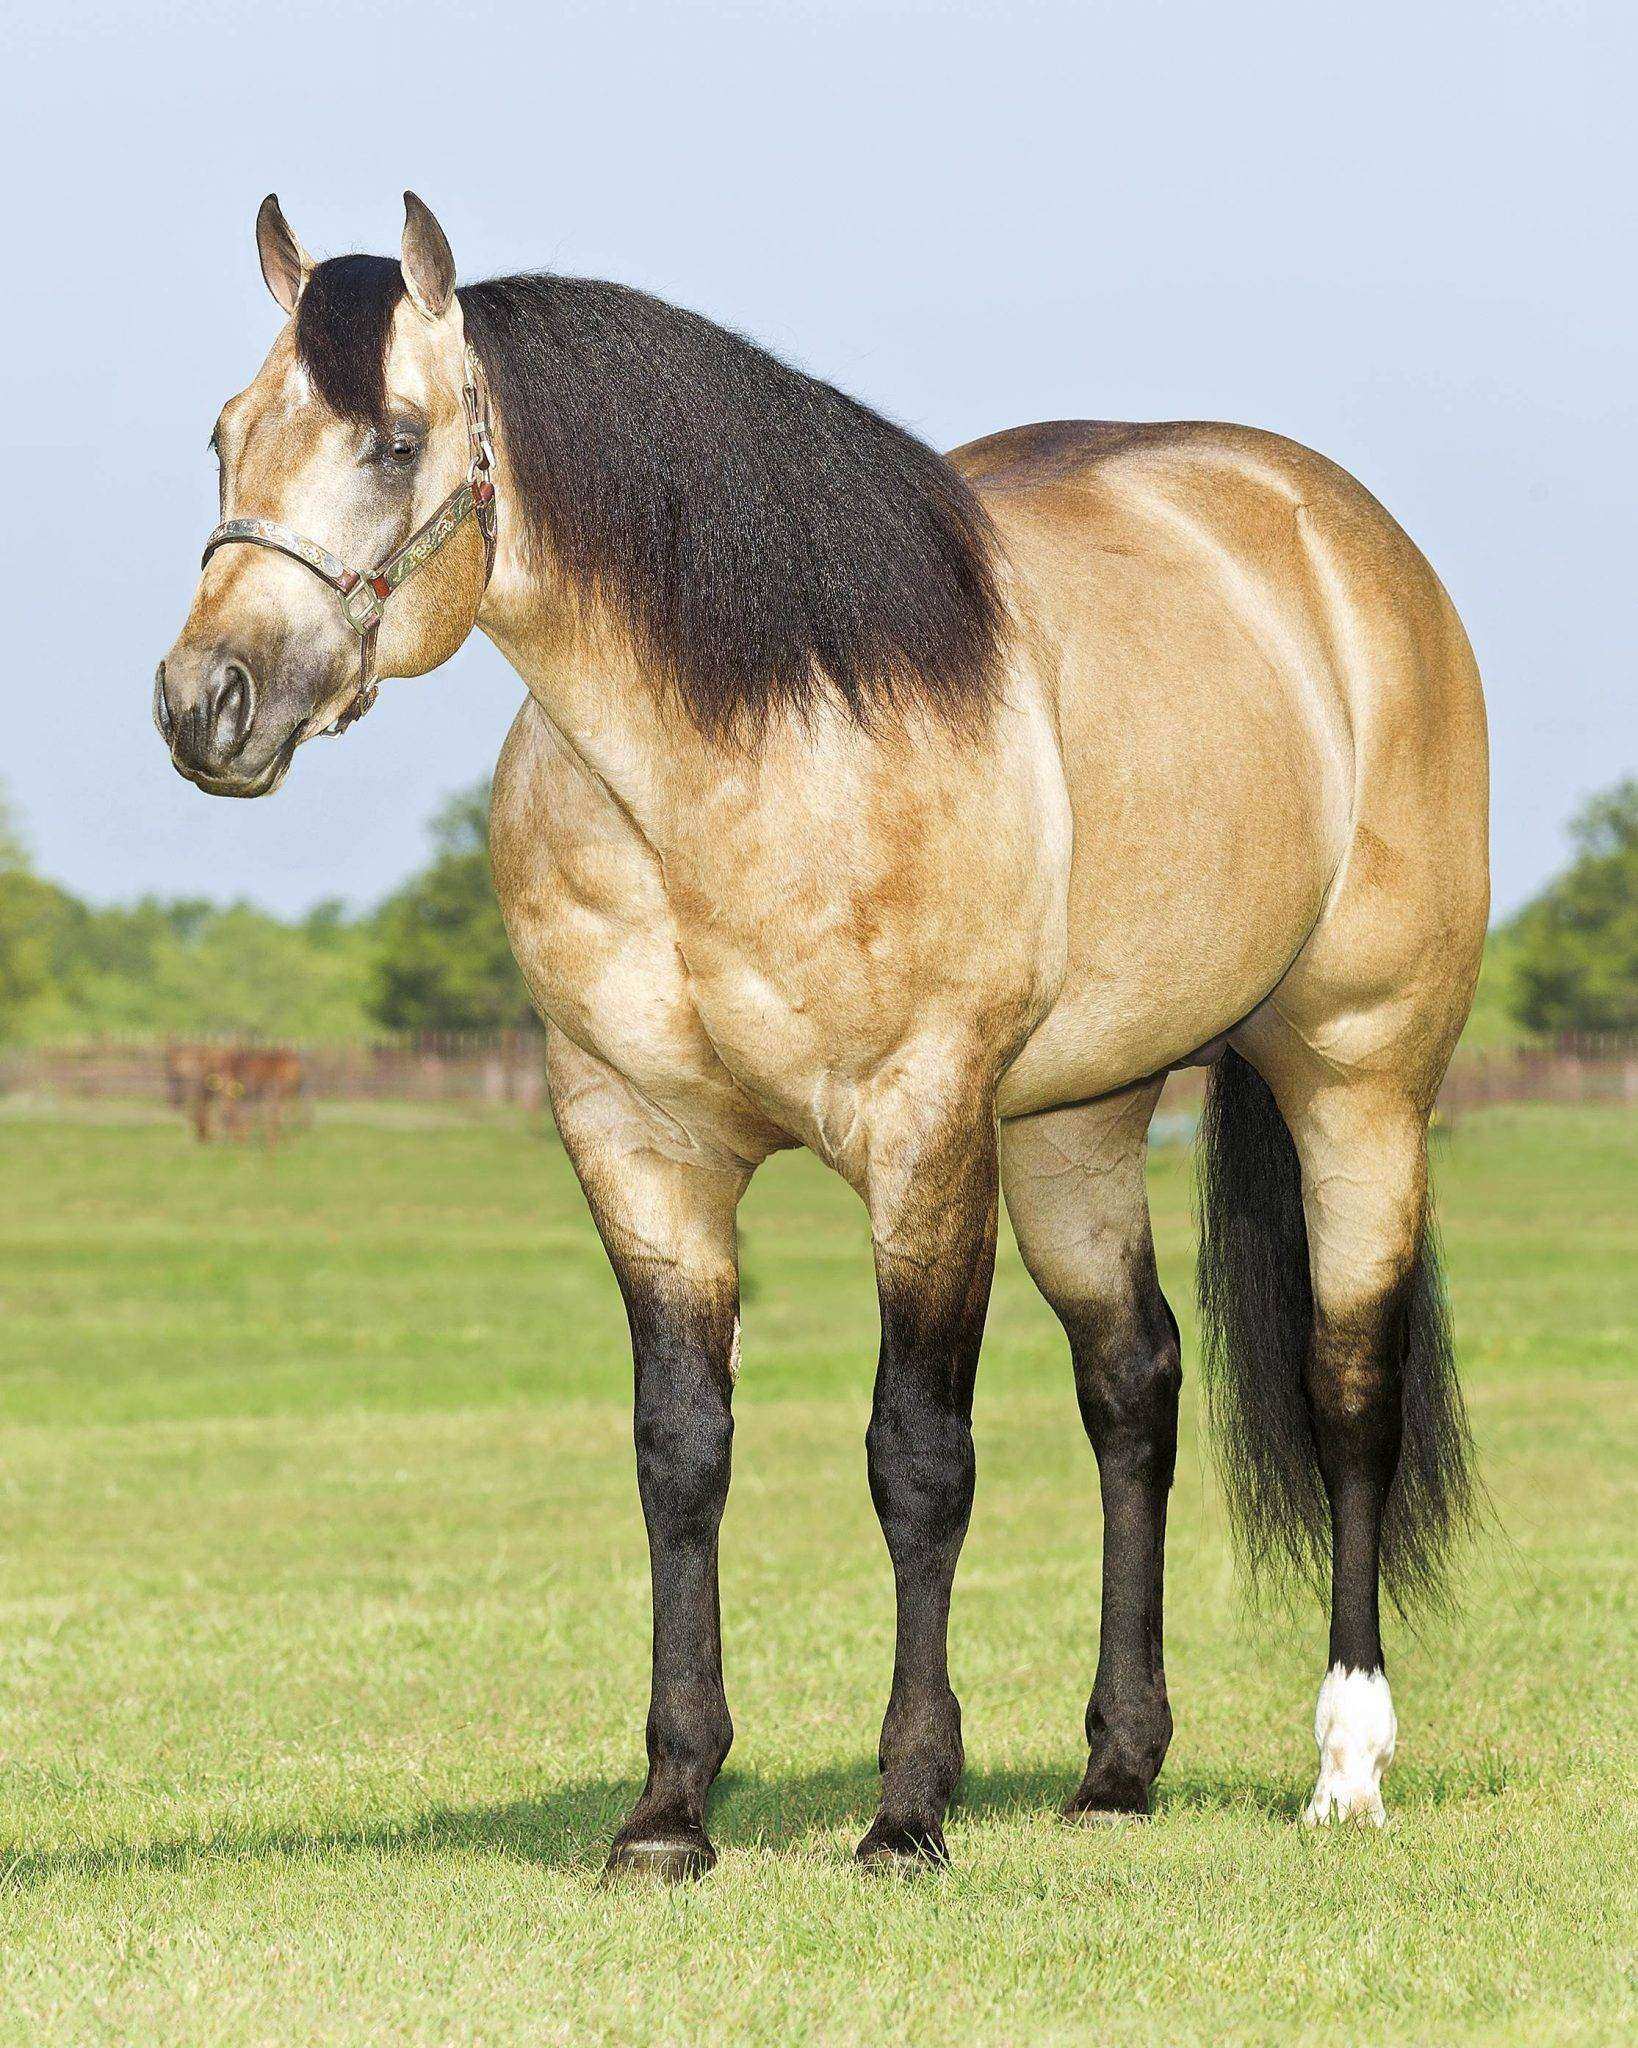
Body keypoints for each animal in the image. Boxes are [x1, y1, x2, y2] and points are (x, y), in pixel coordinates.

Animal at [153, 199, 1482, 1875]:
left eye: (395, 441)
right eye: (223, 433)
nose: (205, 703)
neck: (740, 756)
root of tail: (1337, 543)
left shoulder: (920, 1134)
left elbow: (916, 1461)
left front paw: (907, 1807)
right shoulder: (637, 1145)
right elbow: (681, 1453)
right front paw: (669, 1810)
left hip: (1356, 1075)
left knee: (1346, 1390)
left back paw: (1345, 1763)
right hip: (1075, 1123)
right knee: (1132, 1387)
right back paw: (1117, 1766)